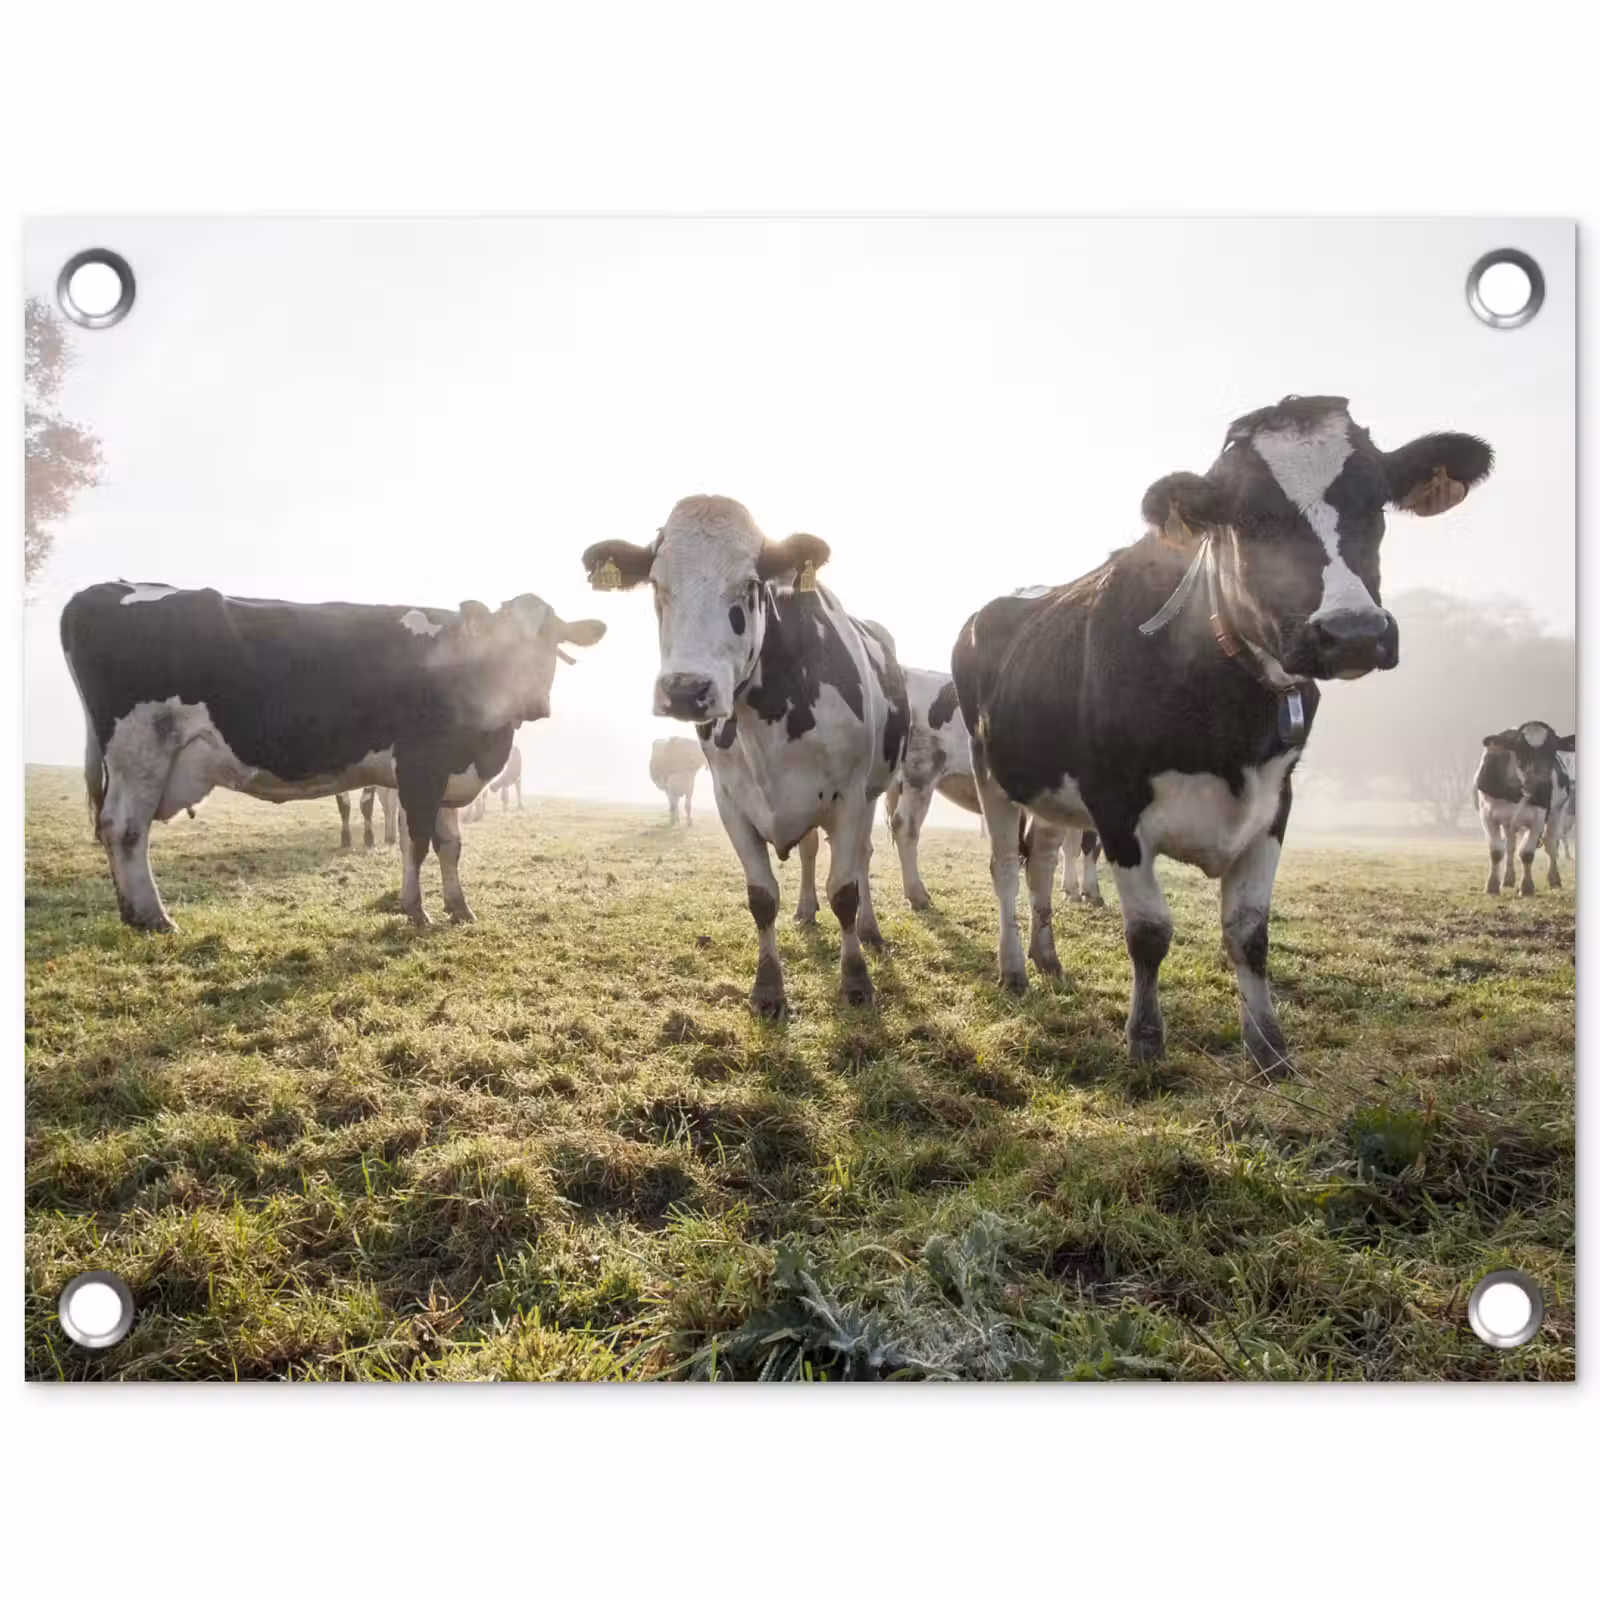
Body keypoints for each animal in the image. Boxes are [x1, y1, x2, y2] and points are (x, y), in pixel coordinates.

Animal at [61, 583, 605, 931]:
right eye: (502, 642)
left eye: (552, 641)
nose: (533, 703)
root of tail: (106, 588)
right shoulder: (420, 767)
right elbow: (417, 843)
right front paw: (416, 911)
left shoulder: (449, 773)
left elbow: (450, 846)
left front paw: (460, 909)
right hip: (141, 747)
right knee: (125, 830)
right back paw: (152, 916)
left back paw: (134, 913)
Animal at [582, 495, 909, 1017]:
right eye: (656, 583)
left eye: (750, 584)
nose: (686, 690)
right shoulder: (730, 801)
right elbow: (761, 898)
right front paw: (768, 989)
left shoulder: (850, 796)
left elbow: (844, 892)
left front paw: (856, 981)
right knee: (811, 851)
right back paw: (805, 910)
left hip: (875, 789)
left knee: (860, 858)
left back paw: (870, 930)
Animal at [951, 395, 1492, 1074]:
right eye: (1252, 516)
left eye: (1374, 502)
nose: (1353, 632)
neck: (1227, 712)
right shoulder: (1115, 801)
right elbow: (1149, 932)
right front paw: (1146, 1040)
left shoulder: (1275, 801)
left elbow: (1248, 932)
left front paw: (1268, 1048)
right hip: (991, 769)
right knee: (1003, 864)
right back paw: (1015, 969)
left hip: (1052, 787)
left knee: (1041, 859)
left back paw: (1048, 961)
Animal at [1474, 721, 1574, 895]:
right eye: (1520, 749)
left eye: (1553, 750)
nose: (1541, 785)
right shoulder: (1487, 815)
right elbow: (1496, 851)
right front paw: (1492, 886)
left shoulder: (1539, 817)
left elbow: (1527, 853)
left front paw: (1527, 887)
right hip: (1509, 822)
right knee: (1510, 846)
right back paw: (1508, 879)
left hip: (1557, 812)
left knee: (1551, 844)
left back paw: (1554, 879)